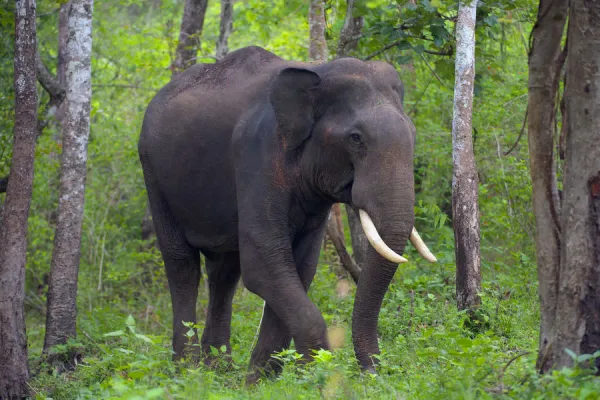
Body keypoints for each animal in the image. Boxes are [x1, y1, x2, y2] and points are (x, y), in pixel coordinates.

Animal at [137, 45, 436, 382]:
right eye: (355, 138)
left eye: (413, 134)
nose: (371, 372)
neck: (317, 72)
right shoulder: (257, 152)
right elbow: (264, 263)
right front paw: (316, 374)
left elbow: (300, 267)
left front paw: (261, 381)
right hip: (154, 174)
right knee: (182, 265)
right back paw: (187, 372)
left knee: (224, 272)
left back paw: (219, 371)